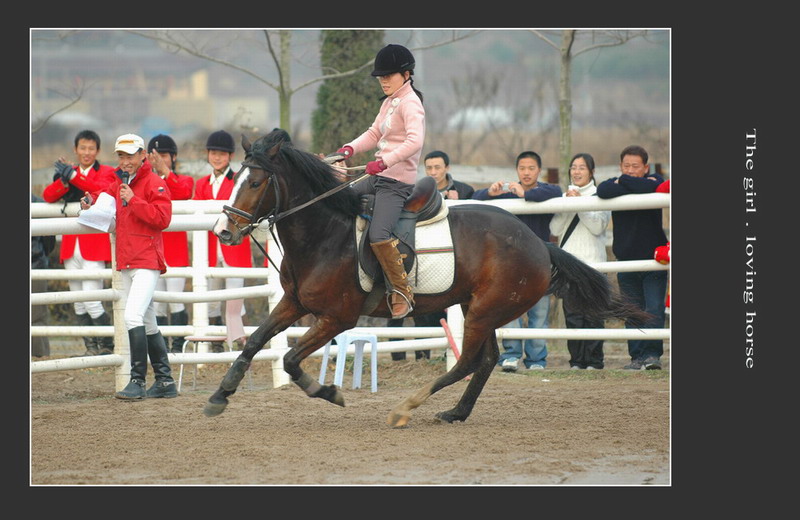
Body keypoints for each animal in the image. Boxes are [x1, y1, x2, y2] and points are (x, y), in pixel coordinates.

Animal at [203, 132, 648, 428]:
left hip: (484, 311)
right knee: (486, 361)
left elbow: (292, 360)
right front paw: (219, 396)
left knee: (468, 361)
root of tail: (538, 243)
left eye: (254, 182)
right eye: (235, 178)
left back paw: (408, 408)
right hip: (480, 308)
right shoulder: (294, 303)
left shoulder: (337, 318)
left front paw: (328, 392)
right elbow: (256, 342)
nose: (223, 231)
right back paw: (456, 412)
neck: (326, 234)